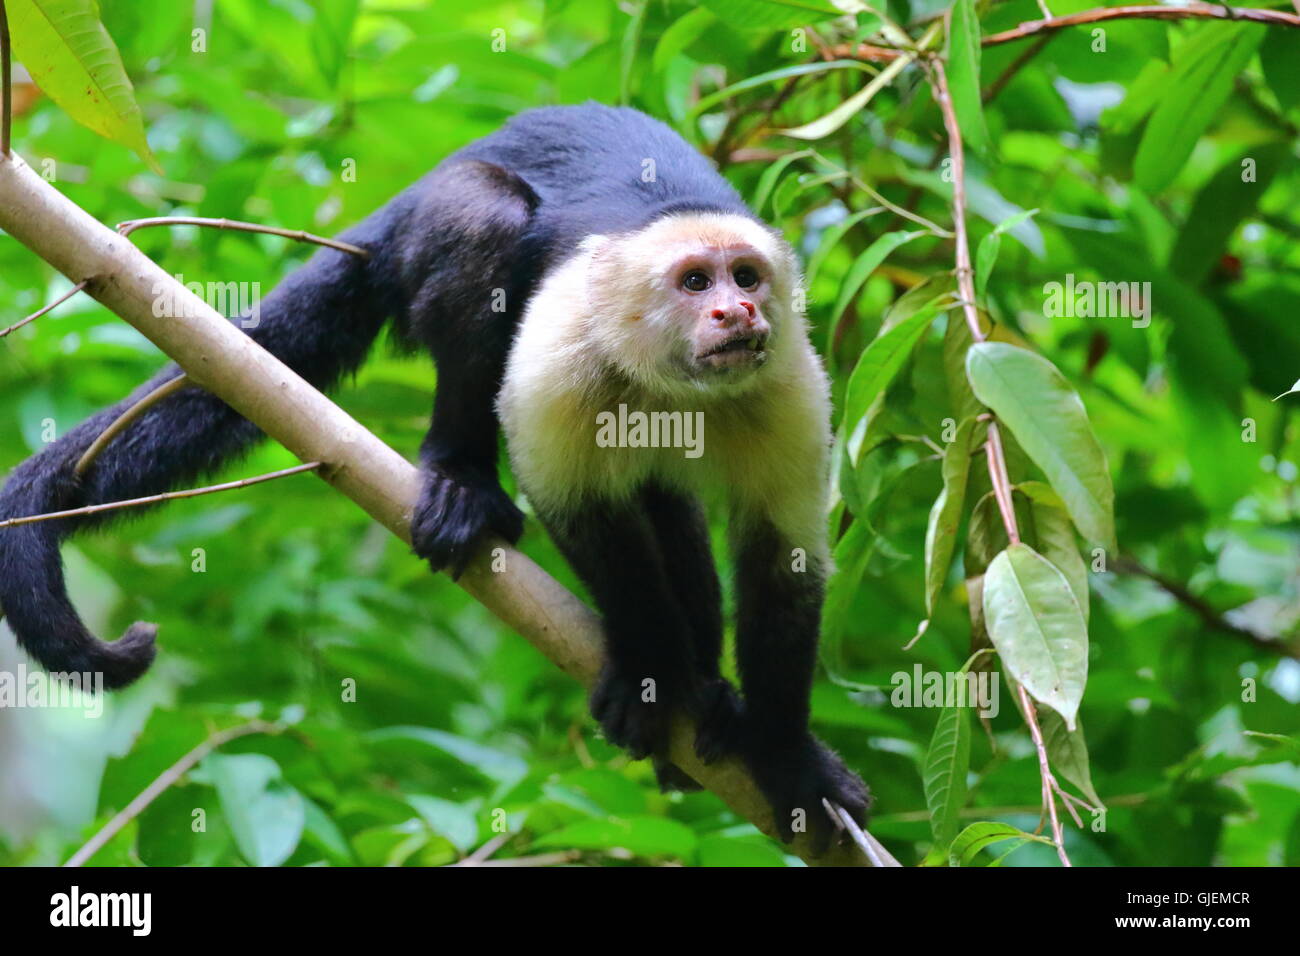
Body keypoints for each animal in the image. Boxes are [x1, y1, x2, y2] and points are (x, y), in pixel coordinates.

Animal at [5, 104, 873, 853]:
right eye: (696, 283)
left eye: (746, 278)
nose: (737, 313)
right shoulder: (568, 351)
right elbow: (581, 507)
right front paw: (652, 674)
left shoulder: (789, 382)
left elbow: (782, 559)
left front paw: (785, 758)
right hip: (425, 232)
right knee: (481, 219)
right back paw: (462, 479)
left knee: (667, 506)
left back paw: (709, 691)